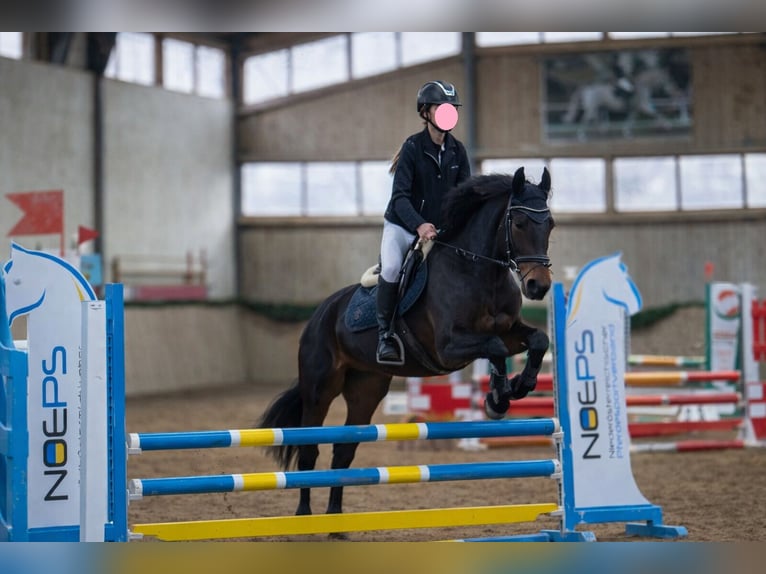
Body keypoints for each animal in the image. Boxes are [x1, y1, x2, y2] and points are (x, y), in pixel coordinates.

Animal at [256, 167, 555, 522]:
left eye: (550, 224)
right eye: (519, 223)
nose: (538, 286)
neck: (477, 269)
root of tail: (320, 313)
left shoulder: (509, 332)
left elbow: (537, 339)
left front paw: (521, 385)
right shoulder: (449, 347)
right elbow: (494, 347)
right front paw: (498, 398)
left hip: (366, 388)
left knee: (343, 450)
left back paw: (335, 520)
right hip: (320, 390)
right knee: (308, 450)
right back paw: (304, 516)